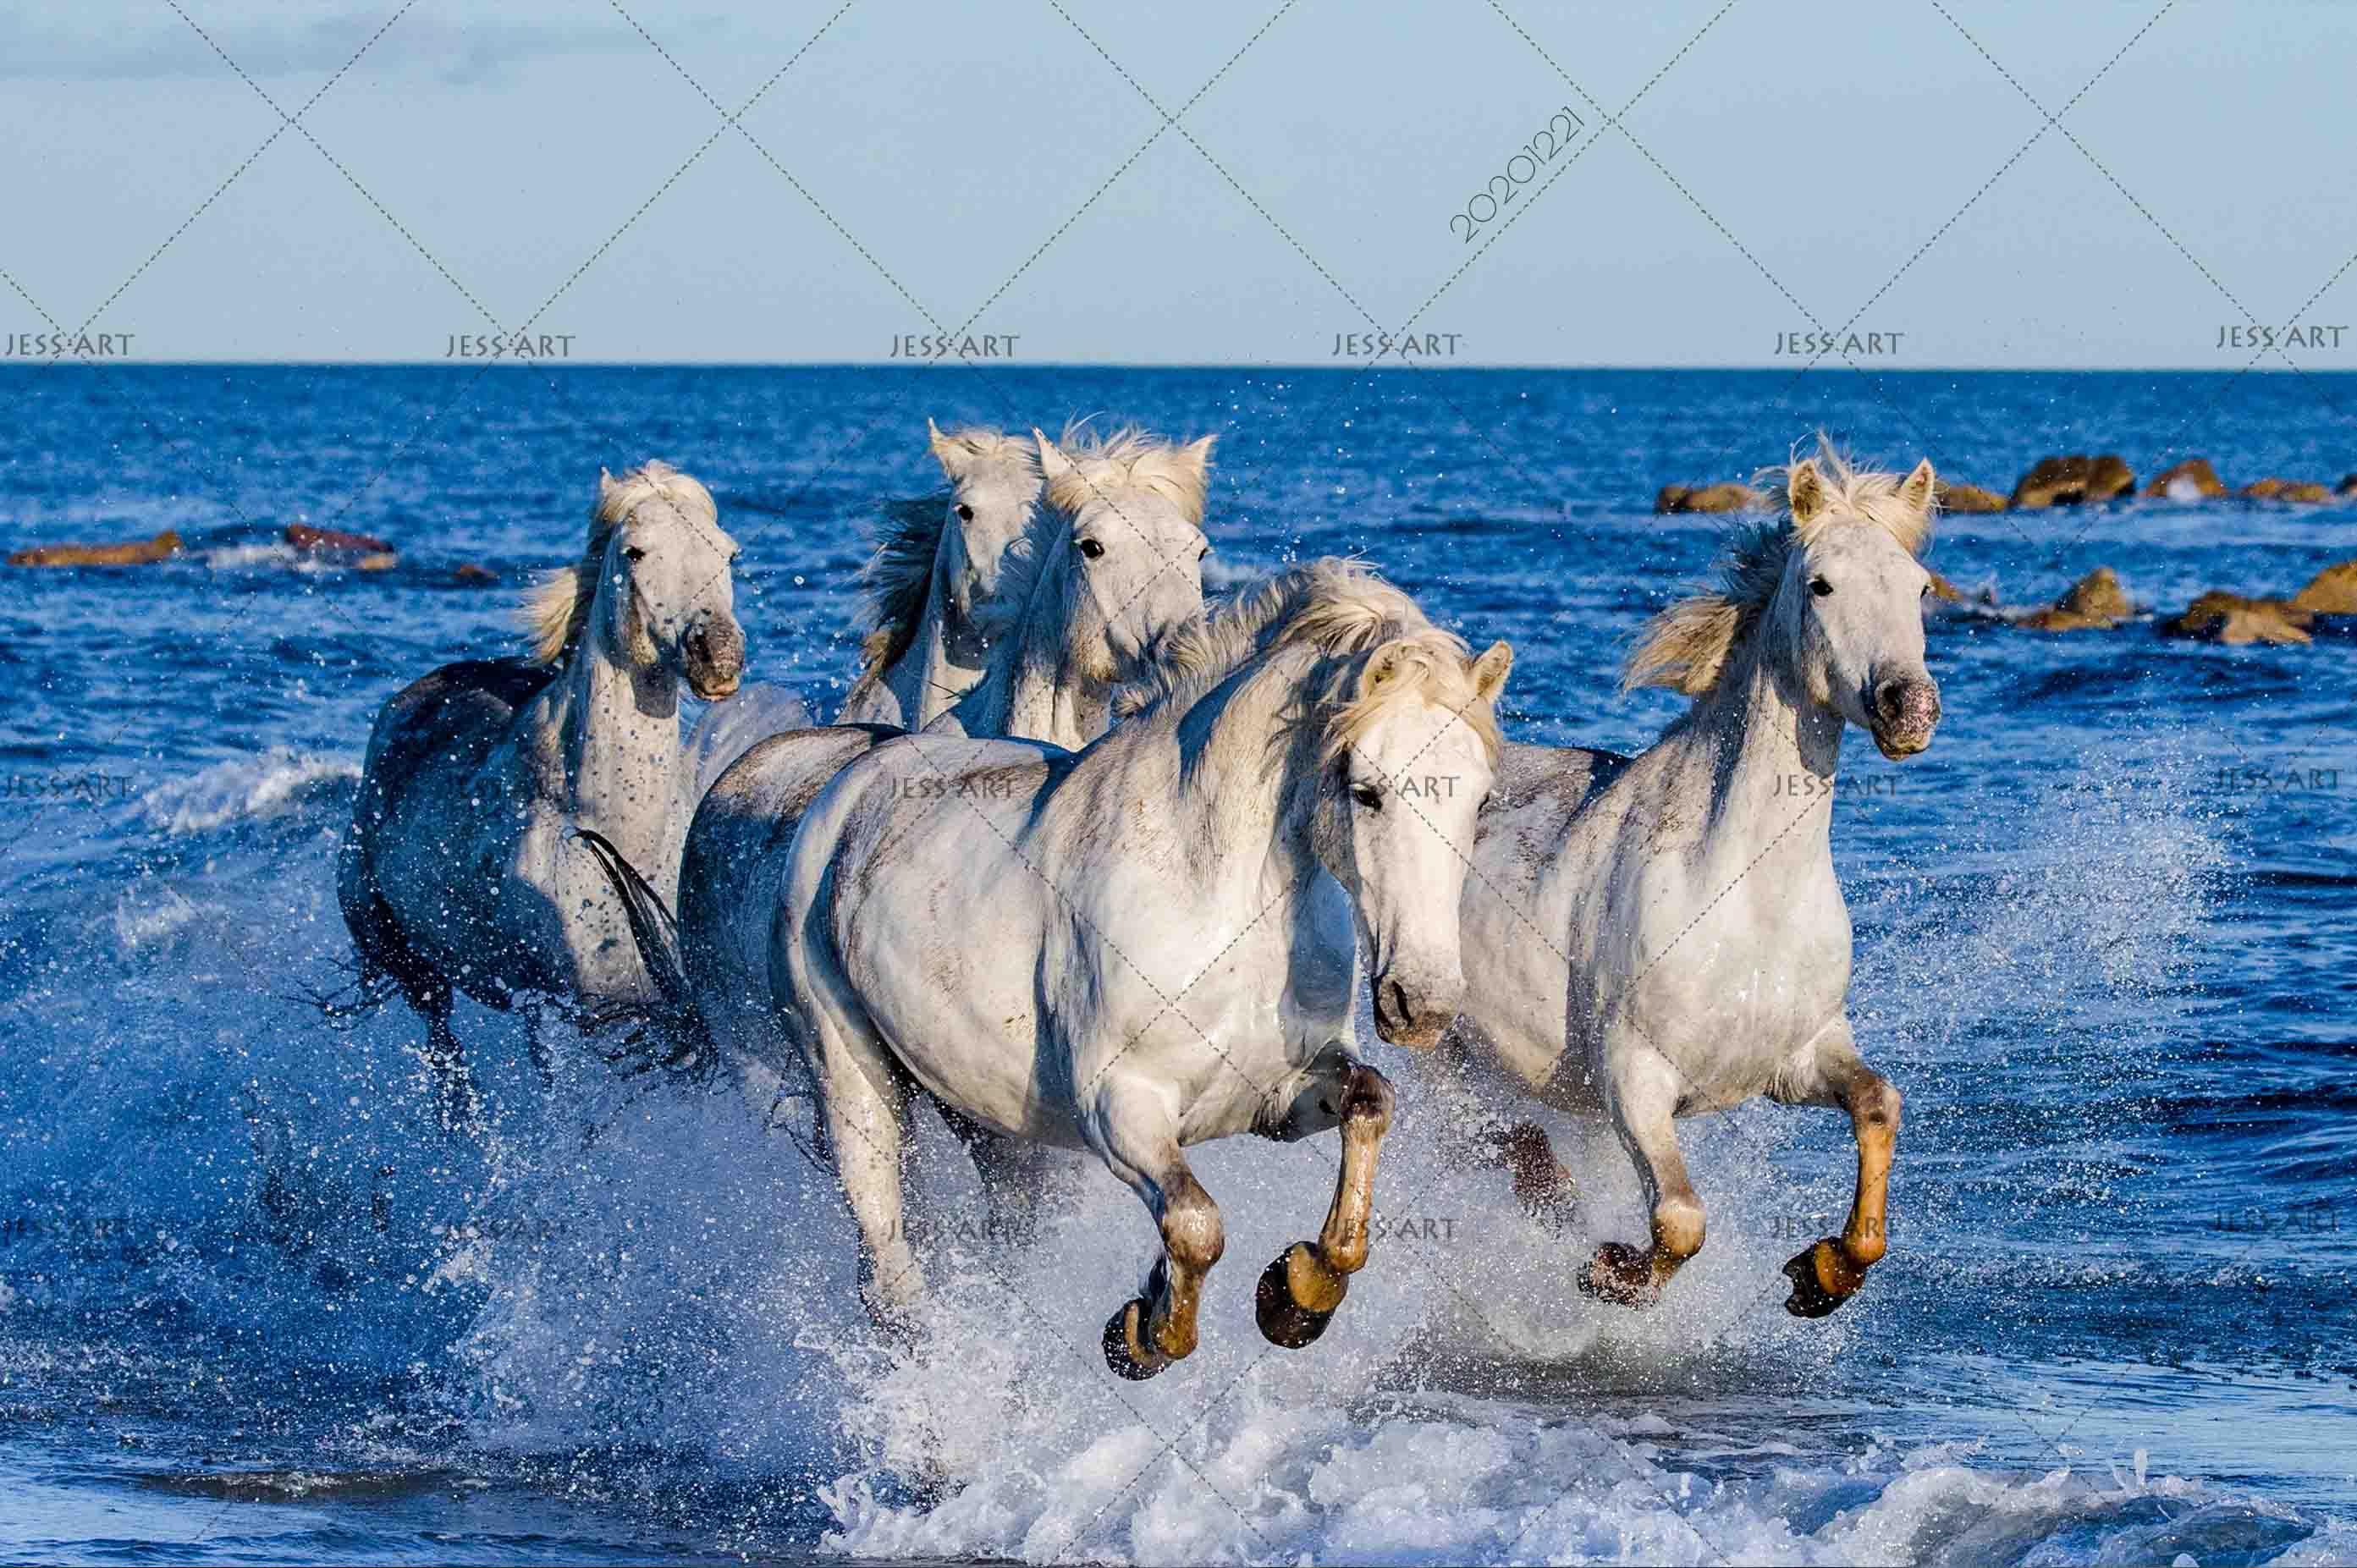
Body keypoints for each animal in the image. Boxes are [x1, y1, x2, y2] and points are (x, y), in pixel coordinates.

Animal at [337, 461, 744, 1131]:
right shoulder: (554, 1007)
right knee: (442, 1047)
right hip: (410, 961)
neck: (608, 830)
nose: (718, 655)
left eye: (727, 551)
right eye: (634, 552)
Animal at [777, 560, 1513, 1377]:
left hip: (991, 1125)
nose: (1422, 1003)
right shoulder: (1121, 1107)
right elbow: (1196, 1223)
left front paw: (1298, 1293)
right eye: (1366, 790)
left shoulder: (1280, 1096)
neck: (1219, 901)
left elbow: (1369, 1103)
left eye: (1480, 798)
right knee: (890, 1277)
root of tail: (846, 789)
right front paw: (1143, 1333)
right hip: (856, 1088)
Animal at [1436, 443, 1941, 1317]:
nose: (1906, 707)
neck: (1745, 897)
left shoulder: (1800, 1054)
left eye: (1918, 586)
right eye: (1821, 584)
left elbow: (1878, 1104)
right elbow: (1679, 1218)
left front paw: (1822, 1273)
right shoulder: (1633, 1080)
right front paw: (1608, 1272)